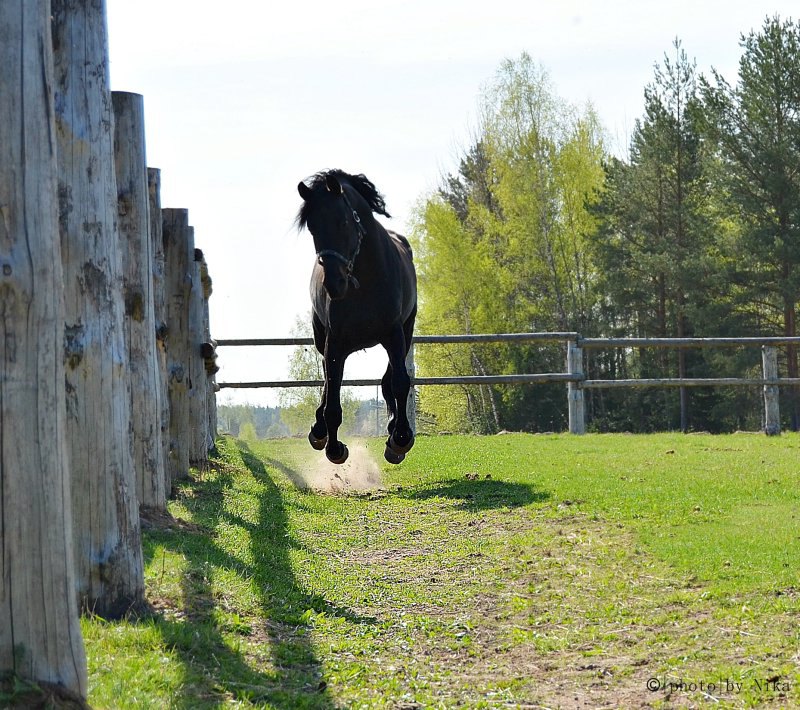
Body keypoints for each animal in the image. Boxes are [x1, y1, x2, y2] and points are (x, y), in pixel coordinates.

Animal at [296, 172, 418, 468]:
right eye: (313, 229)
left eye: (342, 221)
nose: (334, 283)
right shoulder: (335, 343)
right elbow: (333, 397)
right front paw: (334, 448)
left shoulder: (394, 334)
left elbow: (399, 382)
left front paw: (400, 439)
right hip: (322, 339)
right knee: (328, 382)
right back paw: (319, 432)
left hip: (406, 330)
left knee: (388, 380)